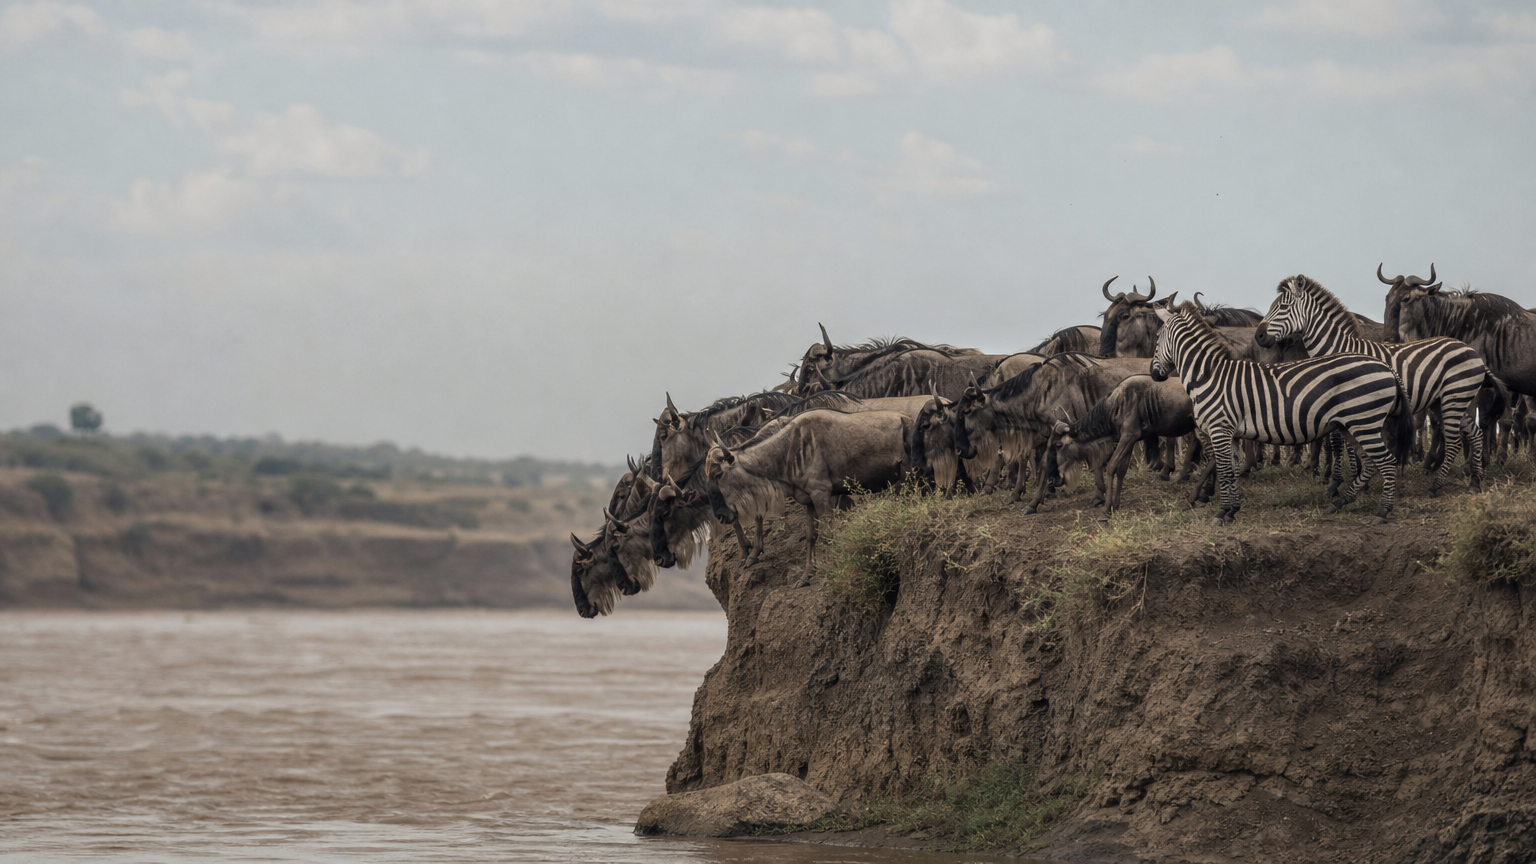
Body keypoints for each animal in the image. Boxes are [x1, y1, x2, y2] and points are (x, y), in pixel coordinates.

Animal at [1150, 303, 1414, 524]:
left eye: (1157, 338)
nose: (1154, 374)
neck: (1208, 376)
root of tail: (1386, 367)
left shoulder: (1219, 429)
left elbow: (1224, 472)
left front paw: (1220, 512)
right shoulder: (1231, 434)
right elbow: (1232, 472)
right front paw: (1232, 510)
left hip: (1364, 423)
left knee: (1387, 461)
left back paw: (1382, 512)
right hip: (1352, 425)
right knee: (1370, 463)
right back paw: (1338, 503)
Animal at [1255, 274, 1499, 496]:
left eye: (1283, 307)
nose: (1258, 336)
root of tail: (1470, 349)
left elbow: (1341, 445)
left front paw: (1346, 484)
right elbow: (1344, 444)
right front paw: (1356, 481)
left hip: (1454, 398)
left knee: (1455, 441)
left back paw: (1436, 486)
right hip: (1445, 401)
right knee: (1475, 433)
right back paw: (1475, 482)